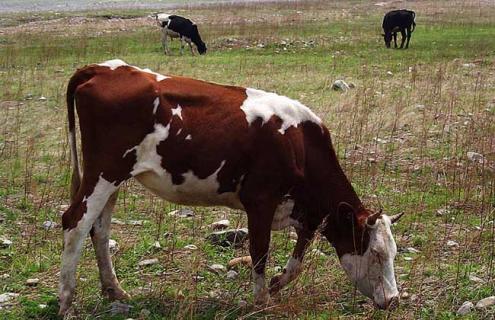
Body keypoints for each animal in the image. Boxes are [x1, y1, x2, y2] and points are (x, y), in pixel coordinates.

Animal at [60, 58, 404, 316]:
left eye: (394, 253)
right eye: (376, 254)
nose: (393, 300)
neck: (300, 143)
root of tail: (103, 68)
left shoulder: (305, 212)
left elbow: (298, 260)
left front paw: (277, 283)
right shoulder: (261, 200)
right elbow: (260, 251)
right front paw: (262, 299)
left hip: (114, 178)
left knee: (99, 229)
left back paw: (114, 290)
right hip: (104, 171)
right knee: (75, 223)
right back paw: (67, 301)